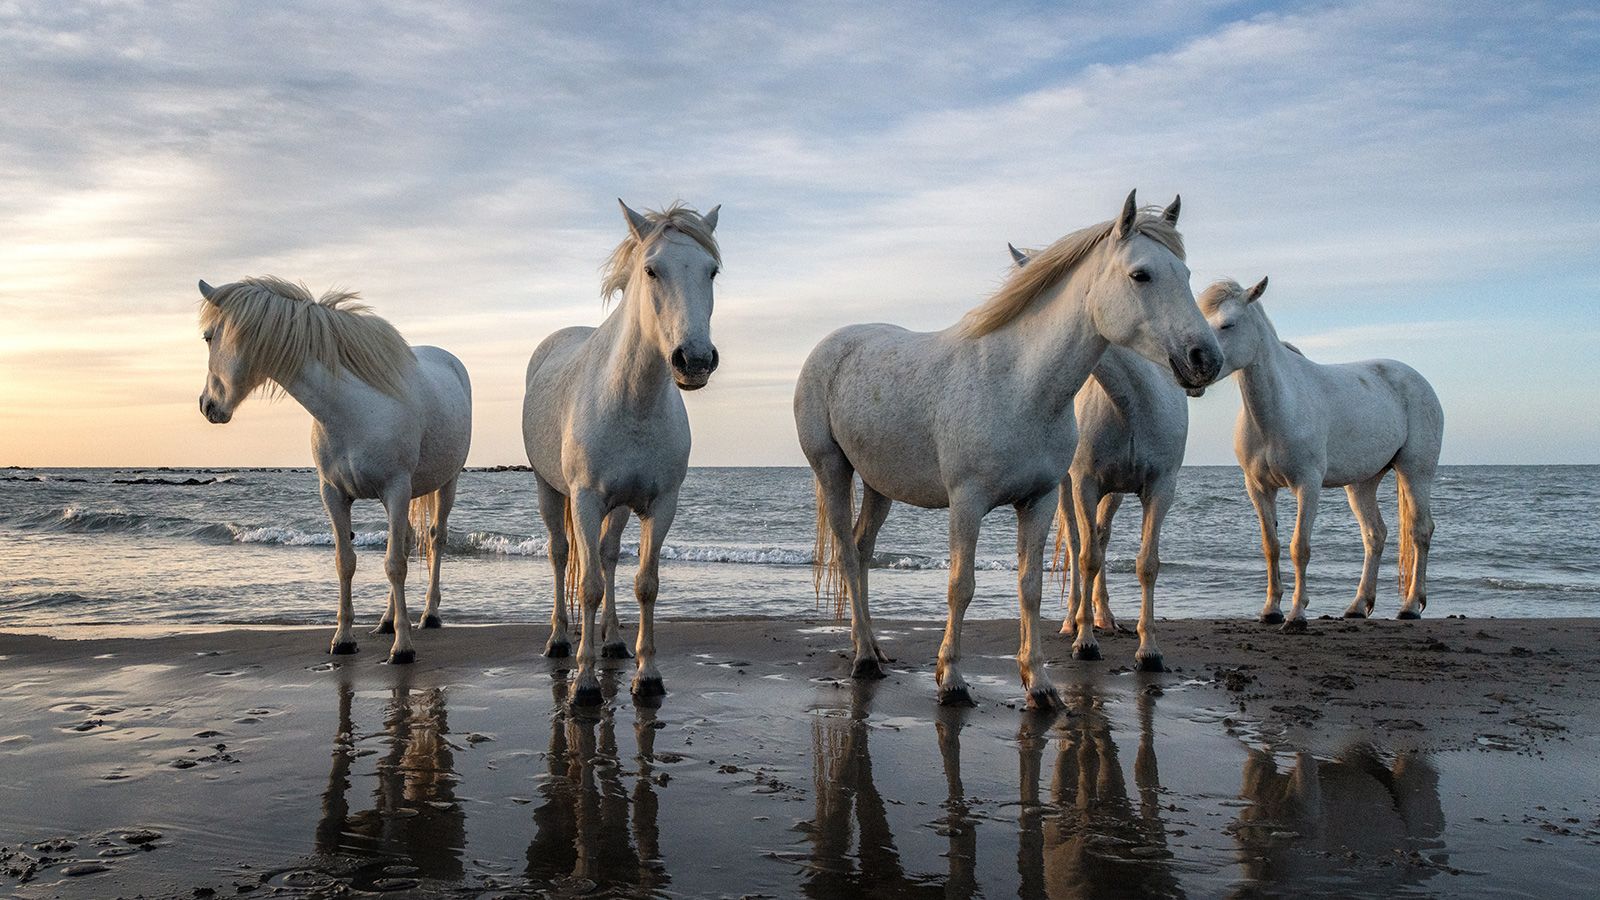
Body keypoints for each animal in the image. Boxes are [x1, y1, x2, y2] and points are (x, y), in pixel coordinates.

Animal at [196, 277, 472, 663]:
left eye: (208, 337)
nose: (206, 405)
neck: (350, 407)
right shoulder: (334, 494)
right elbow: (347, 562)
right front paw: (343, 639)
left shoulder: (396, 489)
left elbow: (394, 565)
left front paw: (402, 648)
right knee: (404, 541)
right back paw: (385, 621)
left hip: (447, 483)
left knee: (435, 539)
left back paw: (429, 615)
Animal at [522, 200, 721, 706]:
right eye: (651, 270)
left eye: (711, 271)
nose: (694, 361)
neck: (631, 399)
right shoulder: (586, 500)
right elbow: (589, 585)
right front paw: (584, 683)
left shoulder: (659, 505)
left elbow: (644, 583)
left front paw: (647, 675)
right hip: (549, 490)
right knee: (559, 554)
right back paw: (558, 639)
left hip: (620, 507)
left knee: (610, 555)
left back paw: (612, 640)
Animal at [1010, 244, 1191, 673]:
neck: (1133, 404)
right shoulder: (1084, 483)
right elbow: (1087, 556)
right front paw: (1084, 641)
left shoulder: (1161, 487)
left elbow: (1146, 563)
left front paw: (1149, 650)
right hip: (1067, 488)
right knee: (1079, 544)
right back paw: (1073, 620)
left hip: (1116, 492)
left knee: (1103, 537)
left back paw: (1105, 617)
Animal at [1199, 278, 1443, 630]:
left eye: (1227, 324)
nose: (1195, 367)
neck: (1278, 408)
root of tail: (1418, 381)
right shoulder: (1258, 488)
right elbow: (1271, 546)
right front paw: (1270, 610)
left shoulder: (1308, 485)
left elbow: (1299, 547)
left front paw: (1296, 615)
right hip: (1362, 484)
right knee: (1375, 535)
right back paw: (1358, 605)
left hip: (1415, 472)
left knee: (1420, 530)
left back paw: (1410, 606)